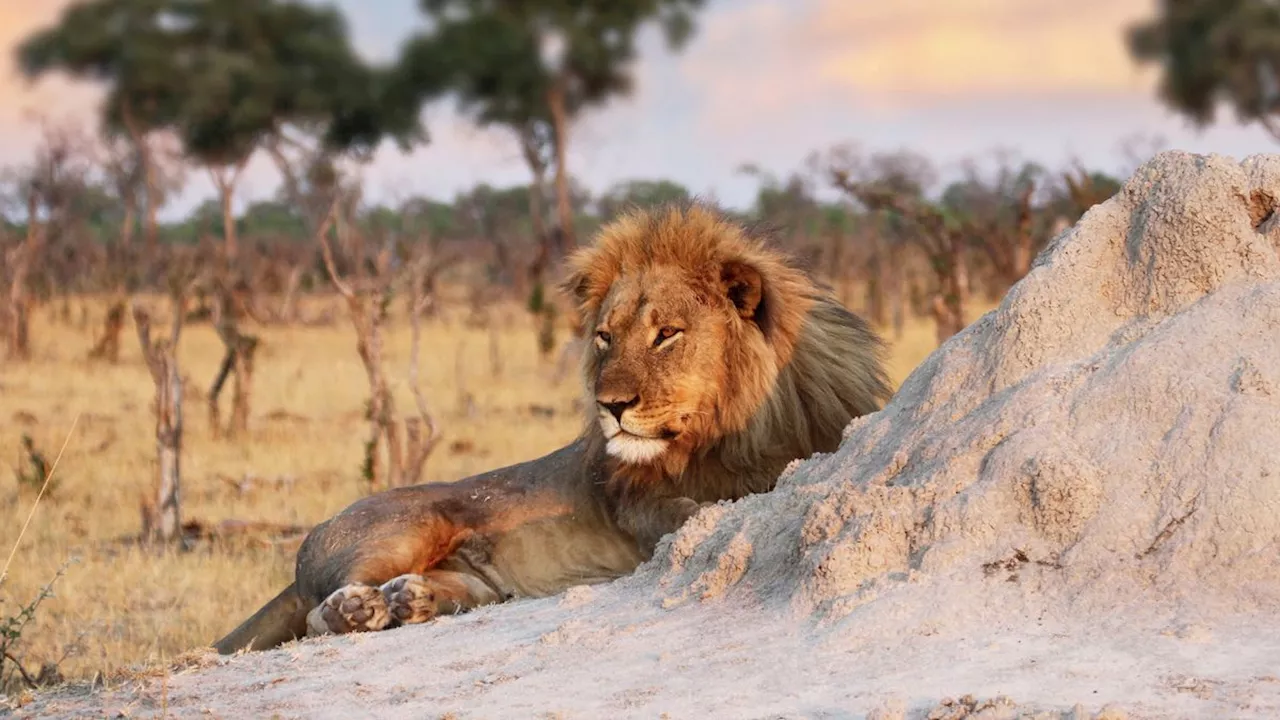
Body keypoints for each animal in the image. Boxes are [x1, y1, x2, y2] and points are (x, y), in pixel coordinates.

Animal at [212, 198, 890, 653]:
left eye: (667, 334)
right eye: (605, 337)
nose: (609, 405)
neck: (733, 432)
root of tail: (310, 540)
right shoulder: (632, 503)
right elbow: (695, 513)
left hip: (474, 580)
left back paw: (413, 600)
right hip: (402, 527)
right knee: (314, 617)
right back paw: (360, 610)